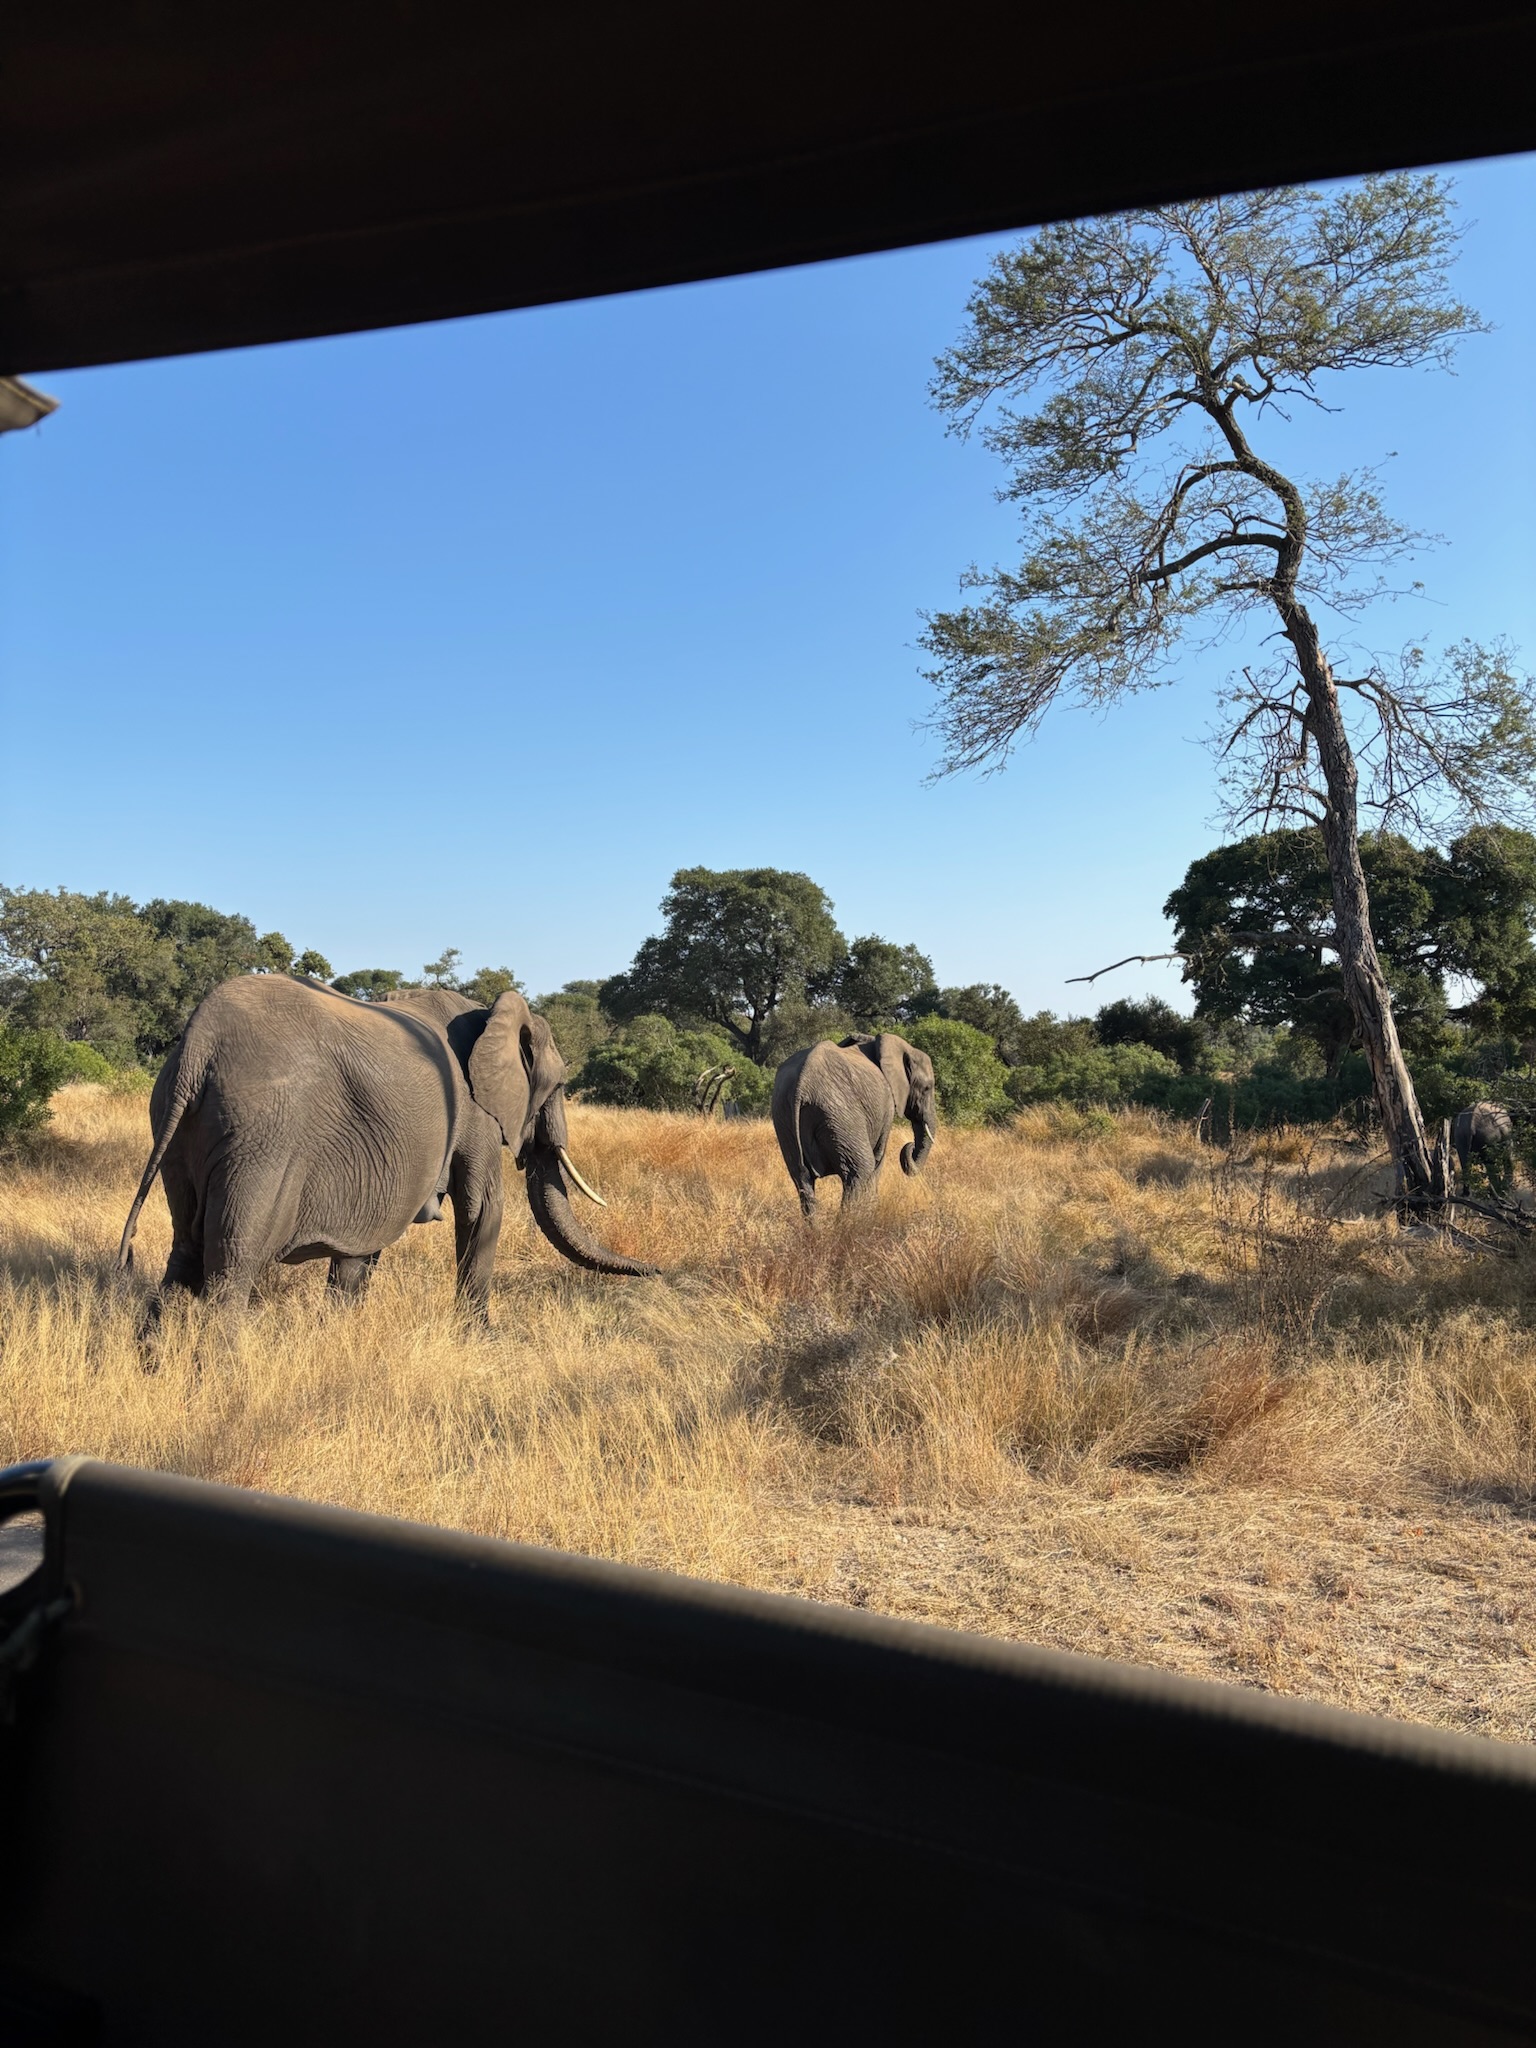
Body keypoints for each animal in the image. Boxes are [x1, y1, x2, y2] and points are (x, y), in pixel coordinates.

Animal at [117, 975, 656, 1319]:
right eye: (560, 1086)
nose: (657, 1273)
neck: (490, 1012)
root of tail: (198, 1044)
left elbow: (362, 1250)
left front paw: (339, 1332)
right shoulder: (476, 1114)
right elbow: (483, 1210)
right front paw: (481, 1339)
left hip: (180, 1129)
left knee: (184, 1254)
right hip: (262, 1137)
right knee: (231, 1267)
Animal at [771, 1032, 936, 1219]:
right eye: (927, 1088)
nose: (910, 1145)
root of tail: (801, 1085)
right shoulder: (886, 1105)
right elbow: (878, 1158)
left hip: (784, 1116)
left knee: (801, 1178)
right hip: (840, 1113)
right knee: (859, 1171)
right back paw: (851, 1224)